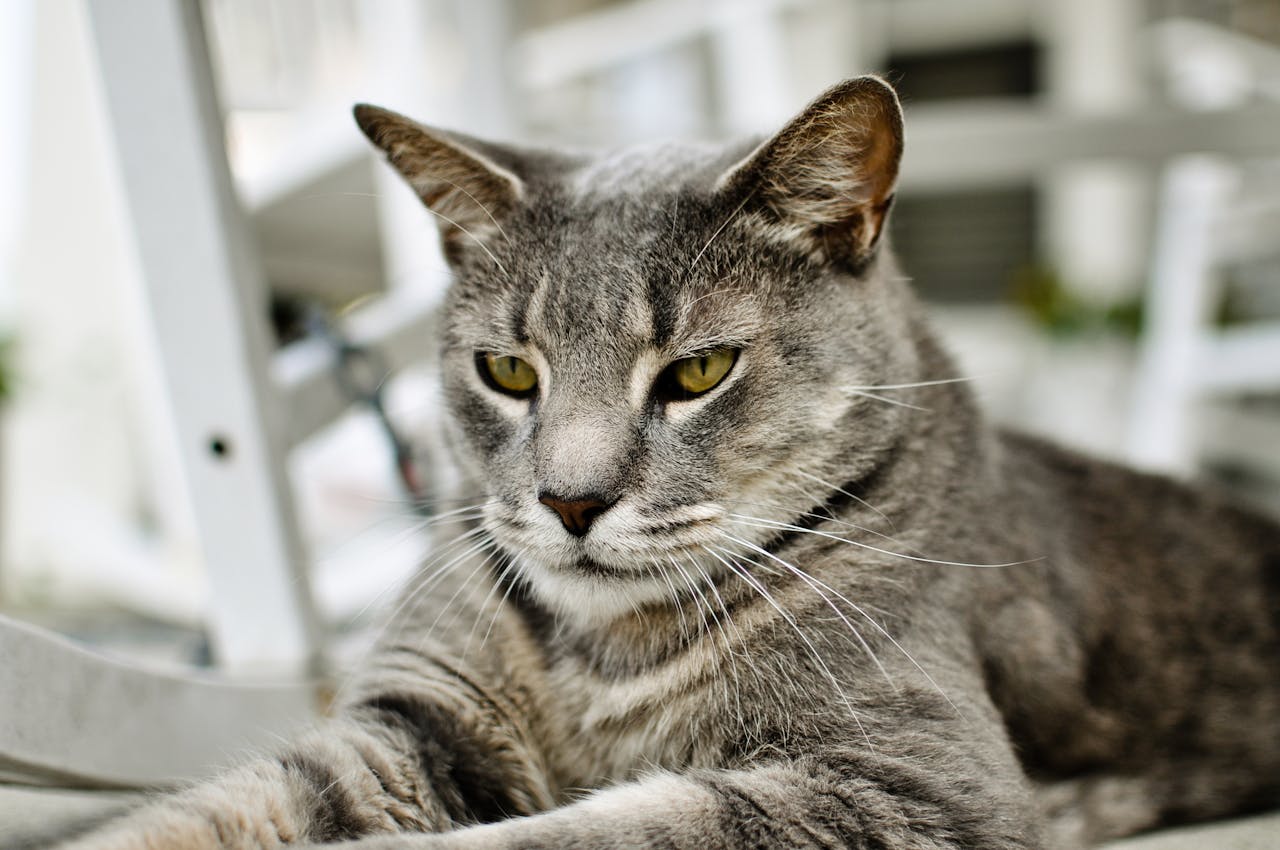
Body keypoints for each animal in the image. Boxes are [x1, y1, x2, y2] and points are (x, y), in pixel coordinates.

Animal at [64, 76, 1274, 844]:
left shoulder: (911, 777)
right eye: (507, 370)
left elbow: (577, 835)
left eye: (697, 371)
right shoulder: (416, 721)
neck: (597, 659)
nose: (570, 500)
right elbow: (232, 804)